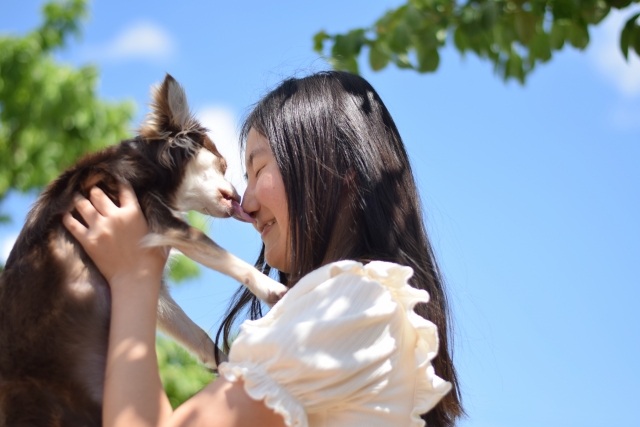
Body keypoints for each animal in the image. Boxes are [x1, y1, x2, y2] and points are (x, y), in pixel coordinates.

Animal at [0, 75, 286, 426]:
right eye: (223, 164)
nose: (240, 195)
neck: (147, 166)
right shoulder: (163, 223)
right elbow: (216, 251)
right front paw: (269, 287)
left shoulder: (154, 288)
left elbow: (199, 337)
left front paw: (227, 363)